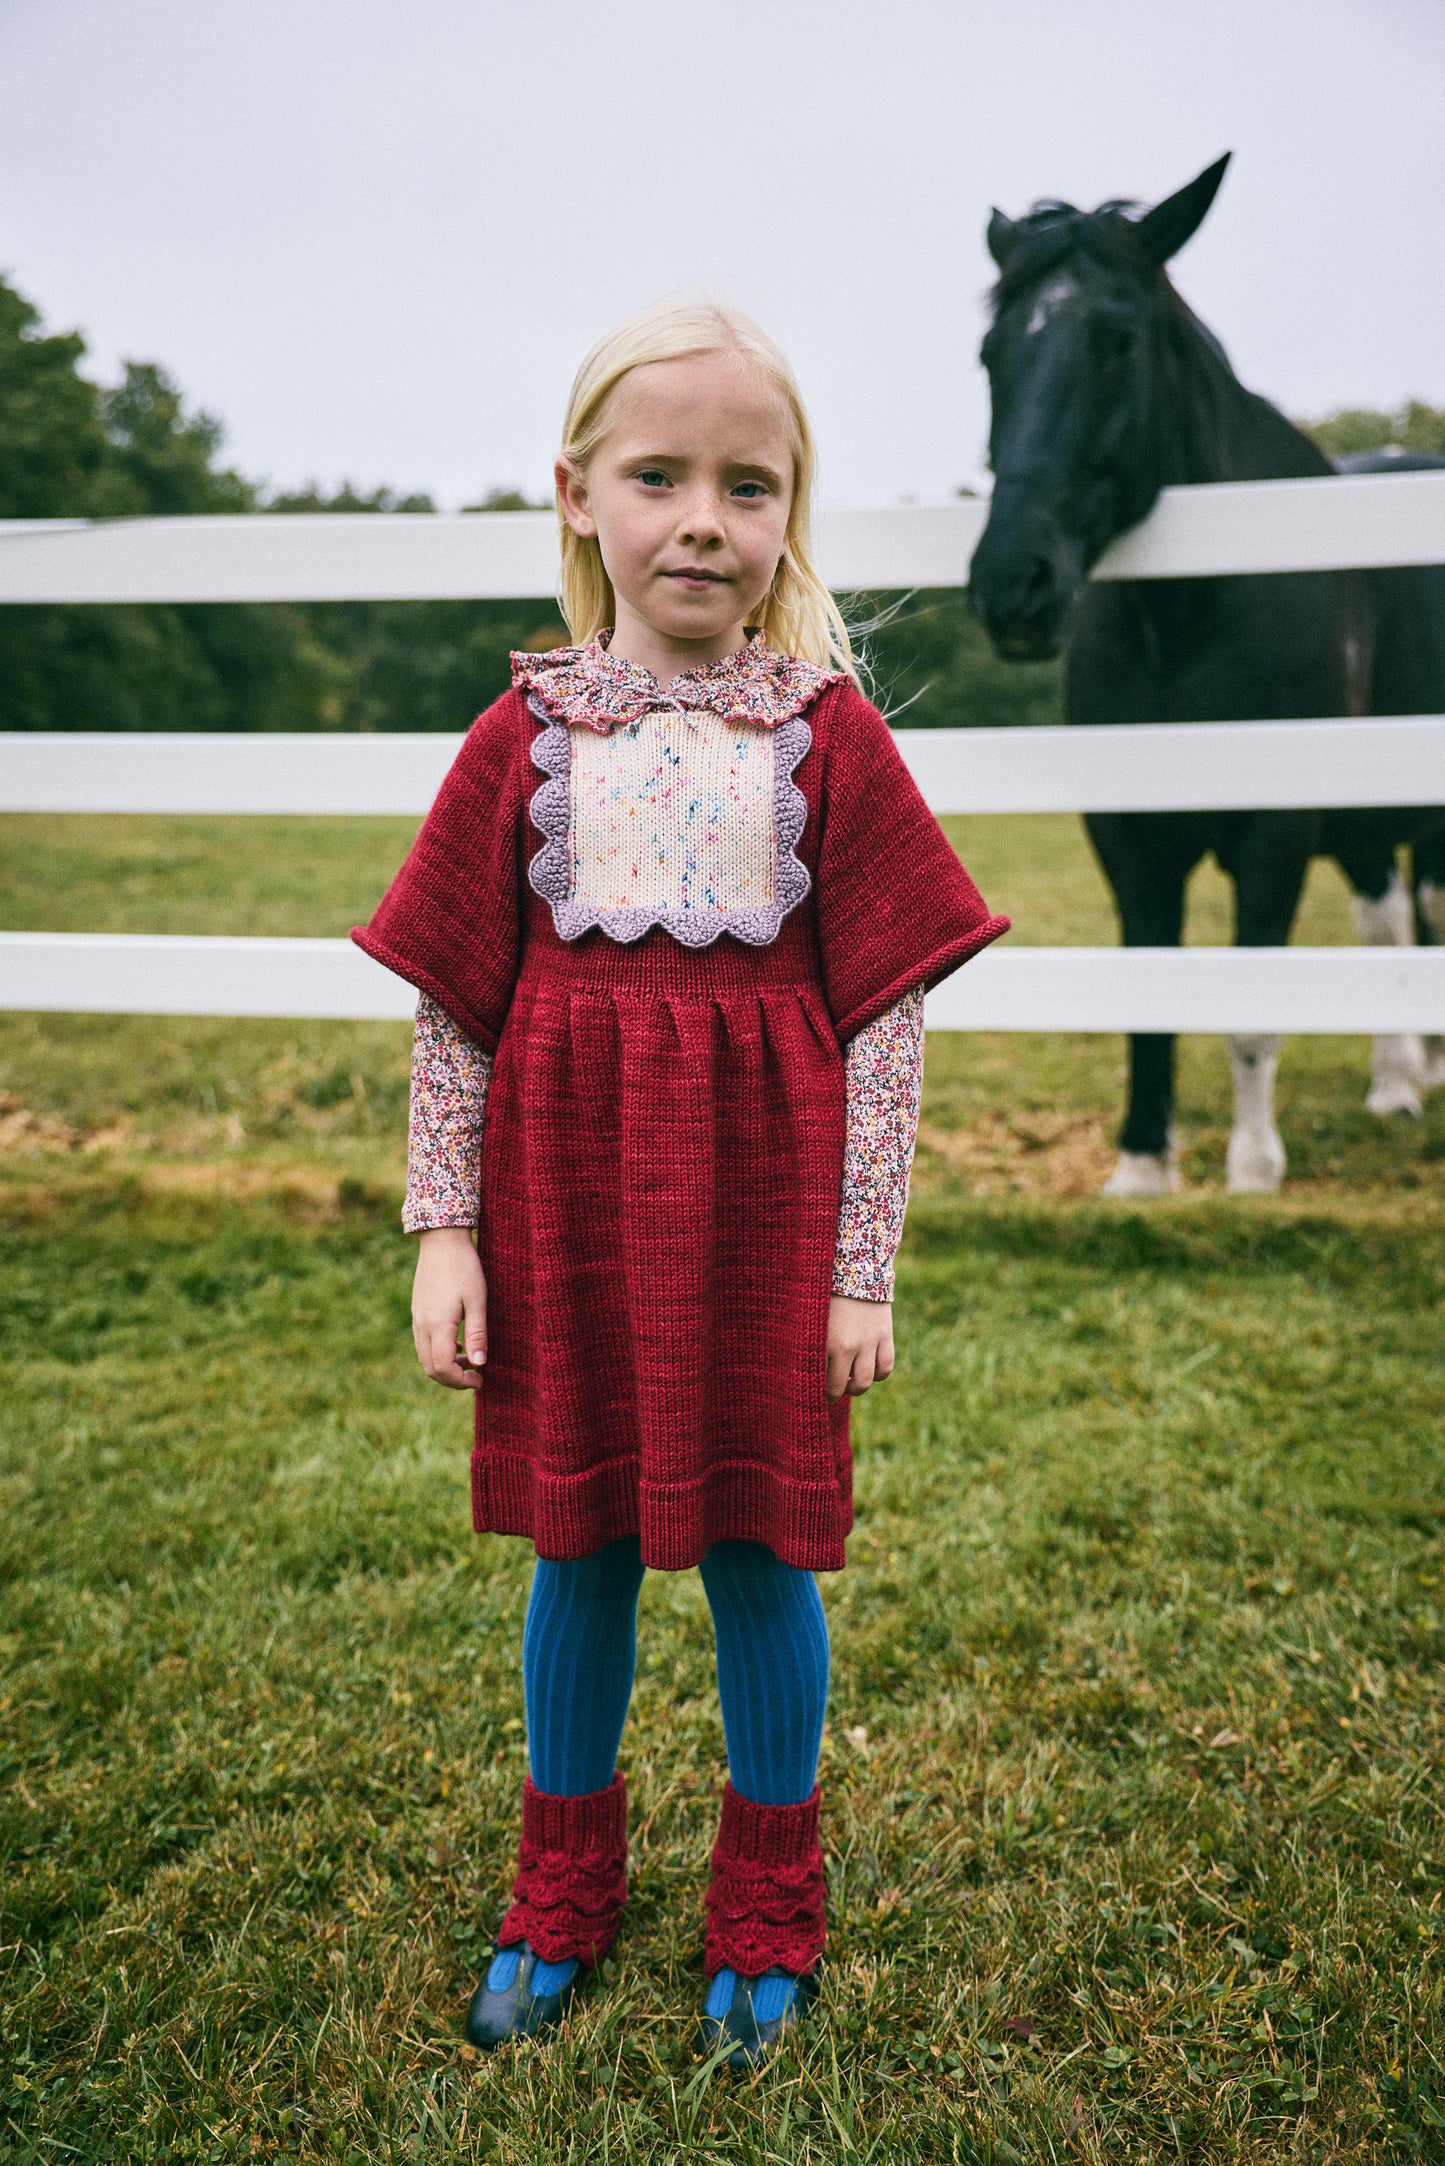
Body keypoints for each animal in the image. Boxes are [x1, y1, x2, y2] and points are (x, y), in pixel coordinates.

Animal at [966, 158, 1445, 1195]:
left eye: (1117, 341)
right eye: (989, 354)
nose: (1012, 588)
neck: (1186, 615)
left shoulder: (1271, 832)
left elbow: (1248, 1001)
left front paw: (1251, 1170)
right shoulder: (1129, 836)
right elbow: (1151, 999)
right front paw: (1143, 1166)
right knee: (1385, 913)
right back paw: (1398, 1080)